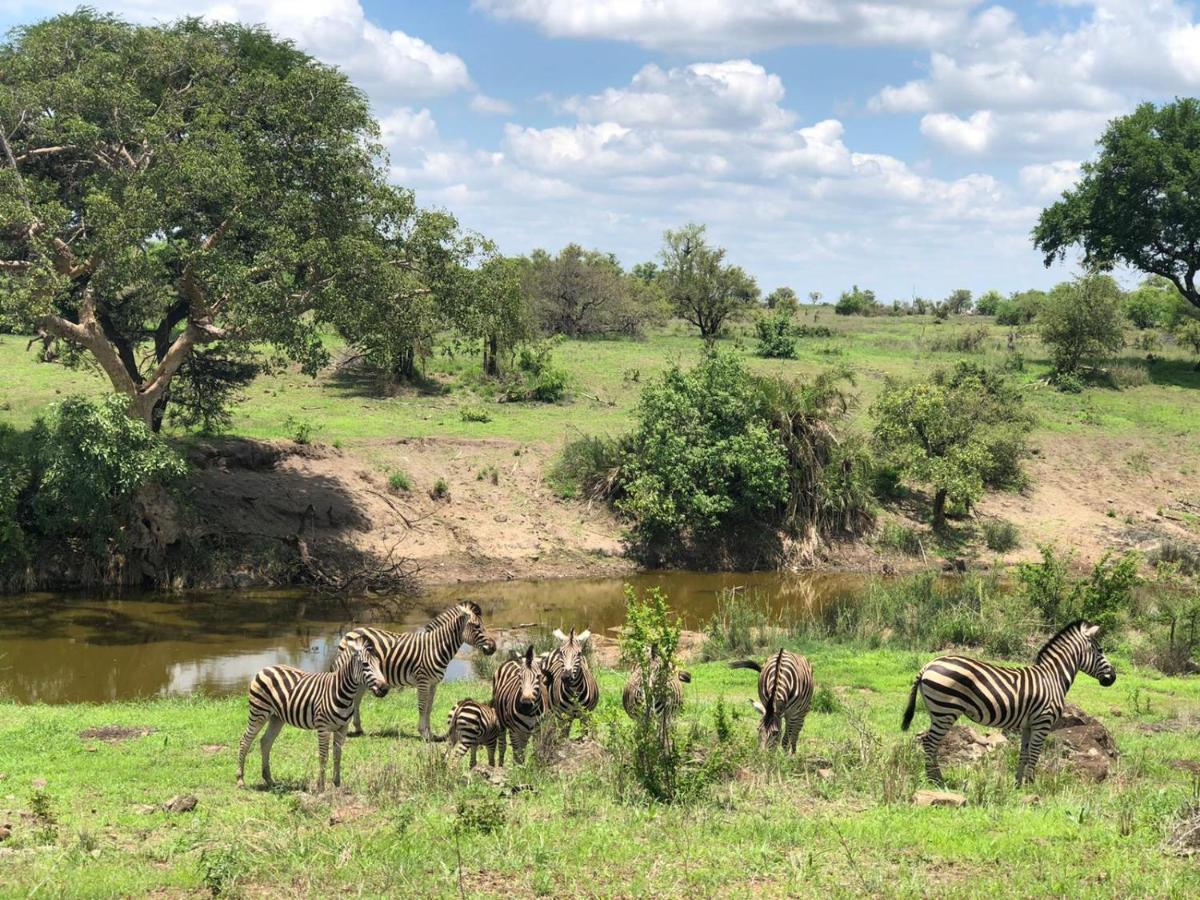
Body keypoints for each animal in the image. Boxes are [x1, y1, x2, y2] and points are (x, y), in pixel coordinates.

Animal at [232, 638, 384, 792]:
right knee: (245, 741)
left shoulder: (343, 728)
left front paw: (337, 784)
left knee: (265, 742)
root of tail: (265, 668)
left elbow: (337, 755)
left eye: (379, 664)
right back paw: (240, 780)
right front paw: (321, 787)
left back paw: (269, 780)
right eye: (365, 664)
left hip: (277, 718)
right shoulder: (323, 728)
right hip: (259, 712)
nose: (383, 689)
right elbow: (323, 756)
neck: (342, 693)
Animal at [336, 602, 494, 744]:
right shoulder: (423, 680)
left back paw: (358, 728)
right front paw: (423, 733)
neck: (435, 648)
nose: (493, 647)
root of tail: (350, 632)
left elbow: (429, 707)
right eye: (476, 626)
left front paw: (431, 734)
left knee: (356, 700)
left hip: (363, 678)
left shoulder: (434, 683)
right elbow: (422, 706)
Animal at [902, 624, 1118, 787]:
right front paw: (1031, 785)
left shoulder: (1028, 725)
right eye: (1100, 651)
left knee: (930, 743)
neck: (1053, 677)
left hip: (936, 711)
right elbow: (1034, 754)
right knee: (930, 743)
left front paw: (1018, 784)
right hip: (945, 710)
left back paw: (935, 779)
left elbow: (1024, 753)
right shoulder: (1043, 722)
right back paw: (936, 781)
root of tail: (928, 665)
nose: (1113, 678)